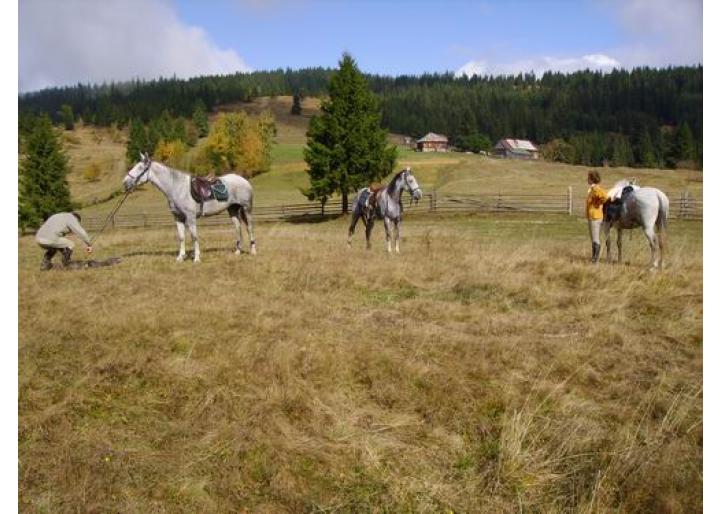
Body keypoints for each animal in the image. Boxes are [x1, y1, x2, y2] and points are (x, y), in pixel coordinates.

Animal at [123, 153, 256, 262]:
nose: (125, 182)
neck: (177, 187)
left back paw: (253, 251)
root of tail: (244, 180)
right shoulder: (178, 217)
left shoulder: (190, 217)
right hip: (232, 209)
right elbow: (181, 237)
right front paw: (180, 257)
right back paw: (237, 251)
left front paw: (196, 258)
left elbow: (194, 236)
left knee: (249, 228)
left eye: (140, 168)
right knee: (238, 228)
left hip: (246, 209)